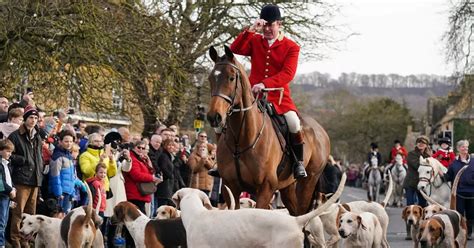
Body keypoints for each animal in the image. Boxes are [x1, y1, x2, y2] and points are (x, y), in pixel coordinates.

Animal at [207, 46, 330, 215]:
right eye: (210, 79)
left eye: (231, 78)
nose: (214, 116)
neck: (242, 139)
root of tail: (321, 131)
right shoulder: (229, 188)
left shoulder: (265, 189)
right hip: (287, 187)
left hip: (307, 182)